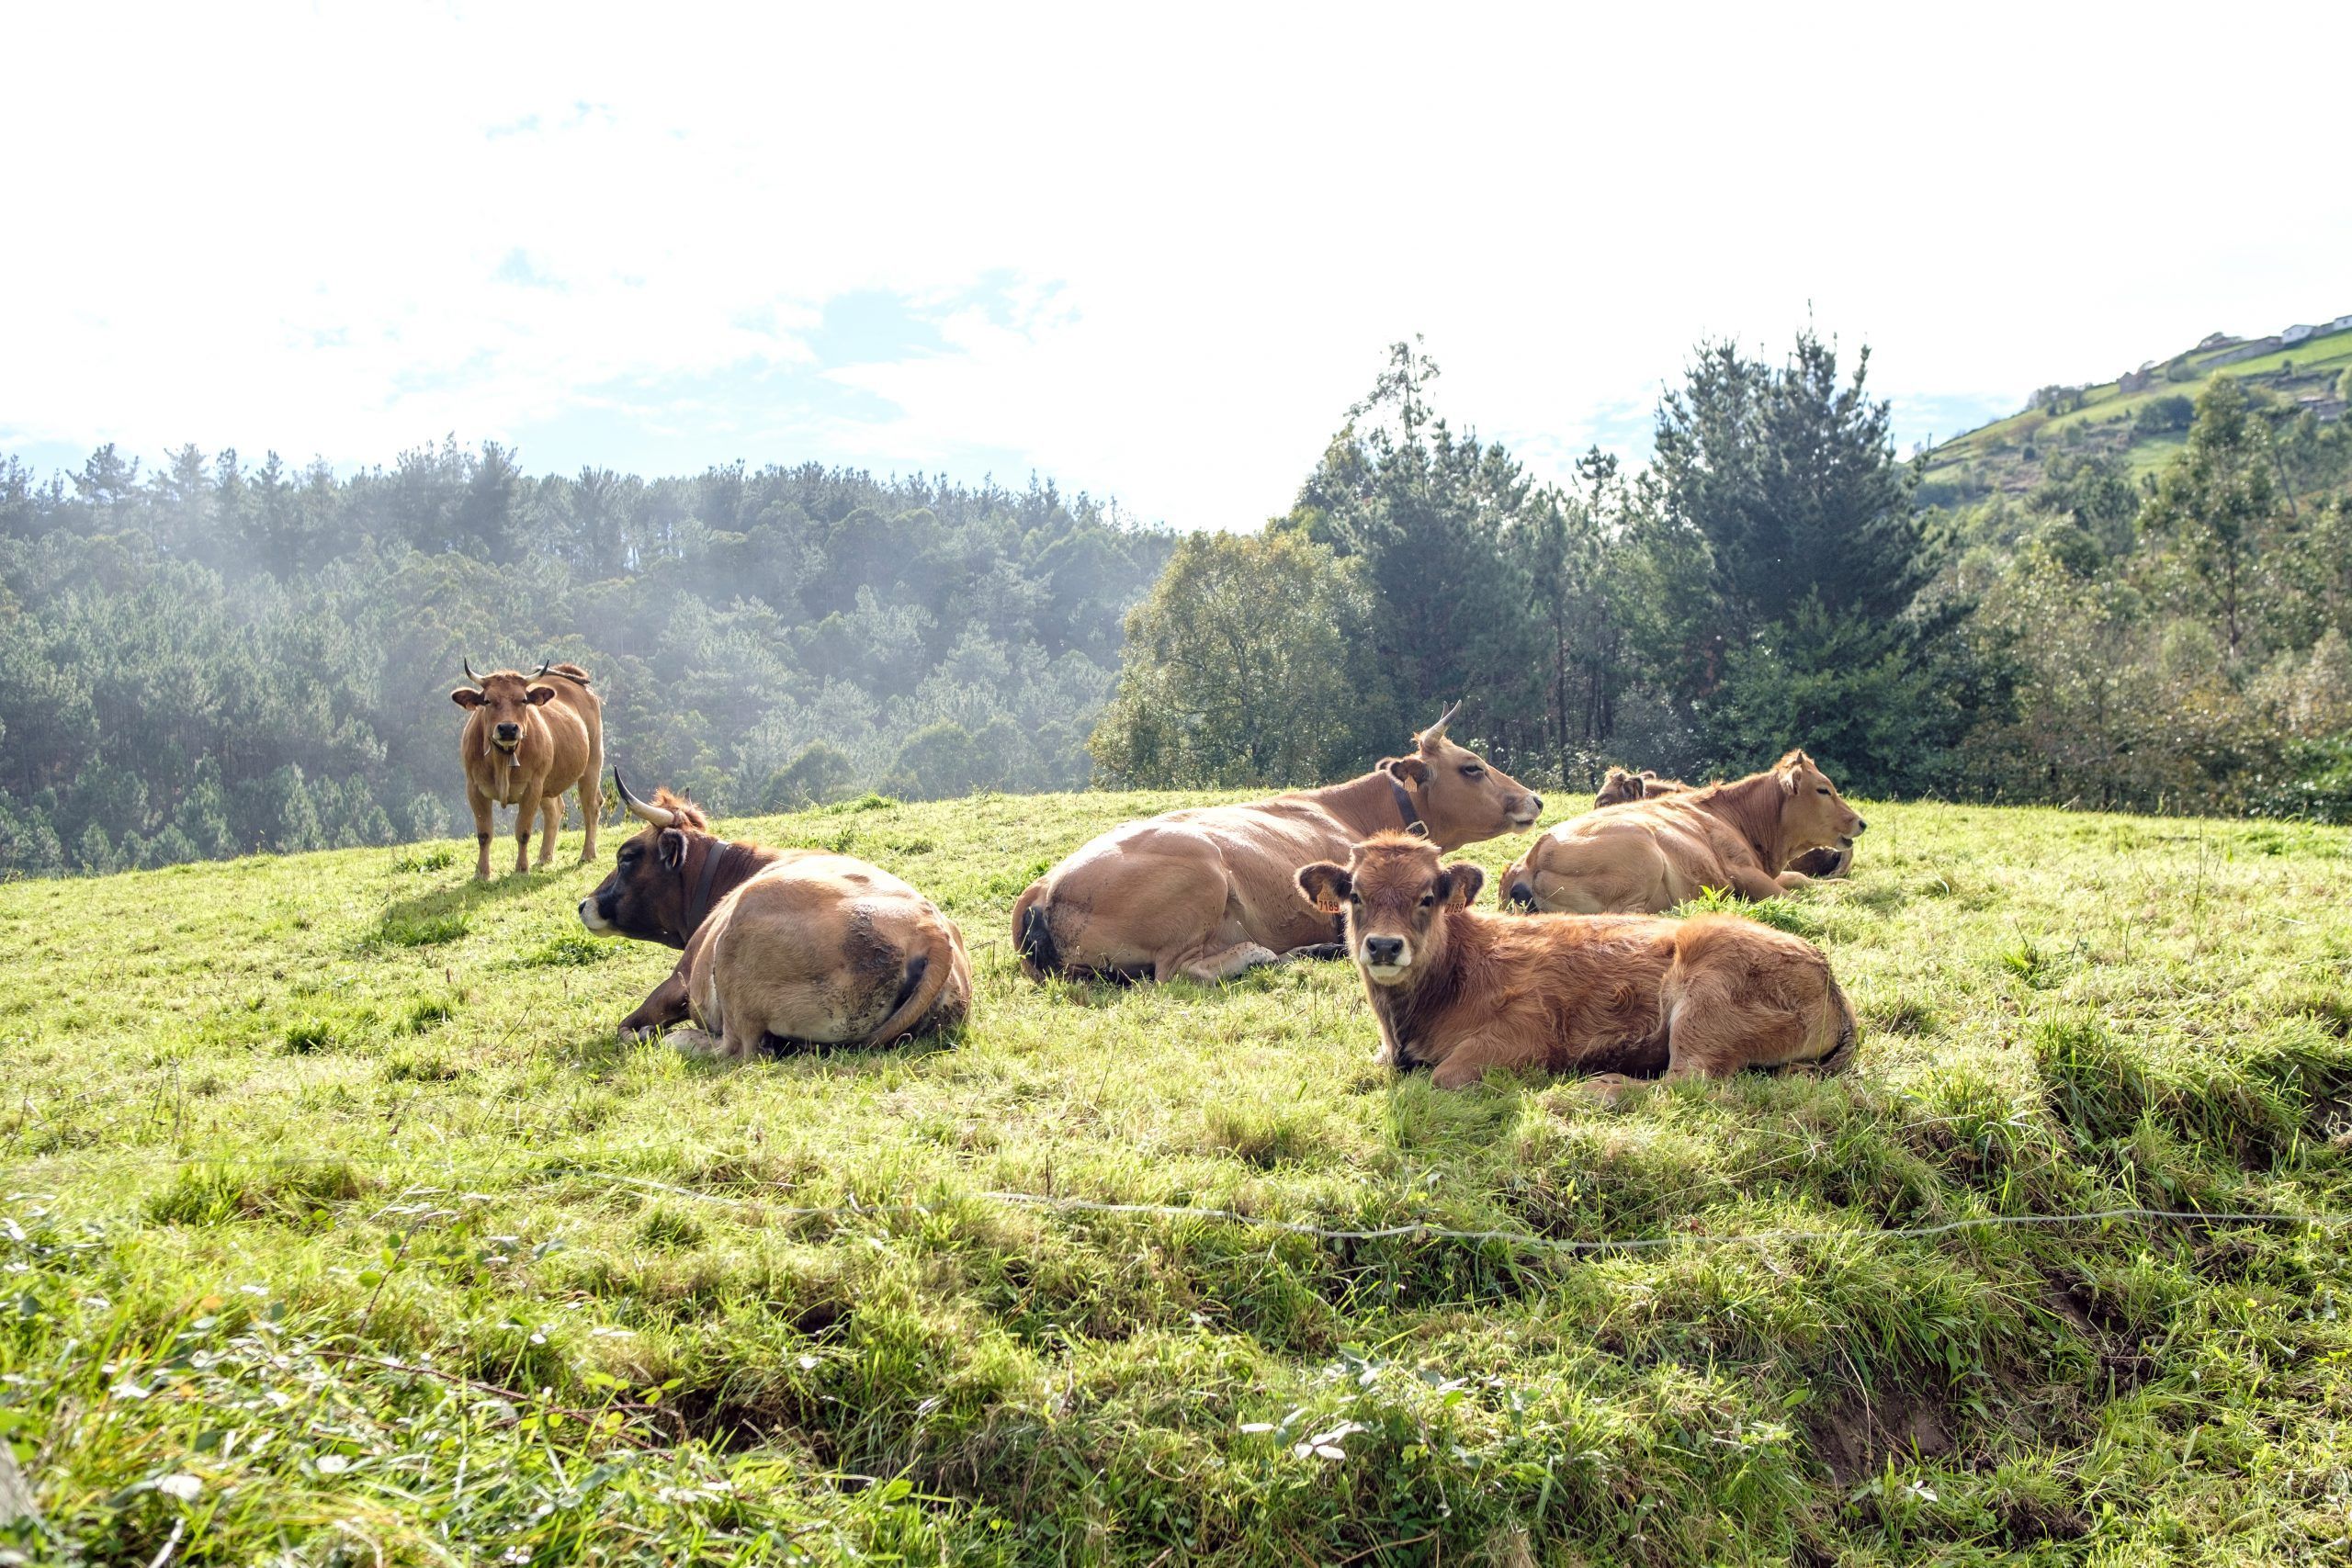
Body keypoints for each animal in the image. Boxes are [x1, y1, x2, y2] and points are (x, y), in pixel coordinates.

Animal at [451, 659, 604, 880]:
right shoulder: (474, 788)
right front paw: (481, 873)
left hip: (592, 762)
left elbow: (523, 831)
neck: (503, 760)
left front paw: (521, 869)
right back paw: (544, 857)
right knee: (555, 810)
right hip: (548, 782)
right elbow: (484, 834)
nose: (507, 728)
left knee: (591, 806)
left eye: (523, 700)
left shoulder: (532, 787)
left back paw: (587, 854)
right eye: (487, 701)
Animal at [579, 772, 970, 1058]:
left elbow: (627, 1025)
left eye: (627, 857)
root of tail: (931, 931)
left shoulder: (680, 980)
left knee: (737, 1048)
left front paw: (644, 1032)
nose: (584, 904)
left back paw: (675, 1040)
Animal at [1011, 703, 1544, 985]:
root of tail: (1042, 887)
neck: (1349, 810)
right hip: (1203, 877)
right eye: (1472, 767)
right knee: (1179, 972)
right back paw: (1271, 953)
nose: (1535, 799)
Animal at [1297, 832, 1856, 1091]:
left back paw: (1595, 1089)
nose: (1384, 946)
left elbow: (1444, 1076)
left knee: (1686, 1084)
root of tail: (1824, 971)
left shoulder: (1524, 1032)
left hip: (1706, 1009)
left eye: (1427, 897)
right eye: (1355, 895)